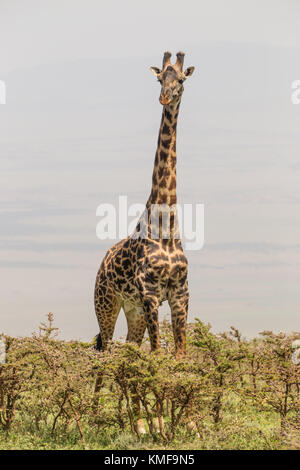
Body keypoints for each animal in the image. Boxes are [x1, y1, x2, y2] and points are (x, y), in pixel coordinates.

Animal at [95, 51, 196, 358]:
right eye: (160, 78)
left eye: (181, 79)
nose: (165, 97)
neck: (166, 227)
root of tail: (102, 263)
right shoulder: (150, 293)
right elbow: (158, 354)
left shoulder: (180, 293)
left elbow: (180, 355)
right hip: (106, 302)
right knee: (105, 351)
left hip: (133, 309)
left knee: (129, 346)